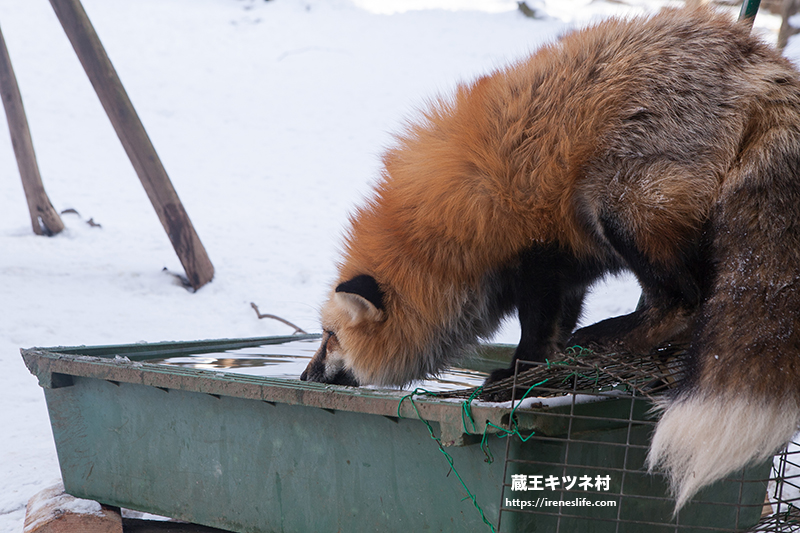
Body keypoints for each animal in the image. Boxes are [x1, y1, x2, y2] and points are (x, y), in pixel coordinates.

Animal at [298, 6, 800, 510]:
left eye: (329, 336)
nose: (304, 377)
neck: (447, 236)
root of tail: (757, 61)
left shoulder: (535, 258)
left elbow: (534, 336)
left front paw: (517, 382)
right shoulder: (567, 266)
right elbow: (553, 335)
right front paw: (548, 375)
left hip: (620, 208)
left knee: (685, 302)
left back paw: (609, 338)